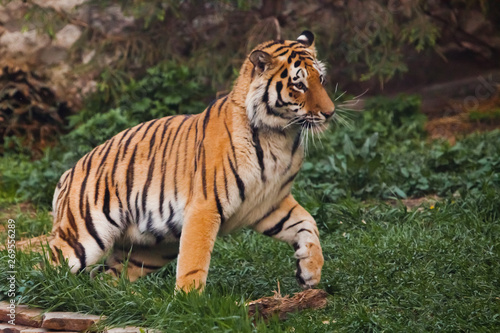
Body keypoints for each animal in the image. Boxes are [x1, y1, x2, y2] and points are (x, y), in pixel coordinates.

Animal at [48, 31, 334, 290]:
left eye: (320, 79)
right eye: (299, 85)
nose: (330, 113)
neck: (281, 136)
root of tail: (70, 171)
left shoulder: (269, 202)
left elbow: (308, 224)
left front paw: (310, 272)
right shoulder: (205, 206)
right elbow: (194, 260)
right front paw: (190, 301)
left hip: (152, 249)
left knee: (103, 276)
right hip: (84, 237)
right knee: (49, 259)